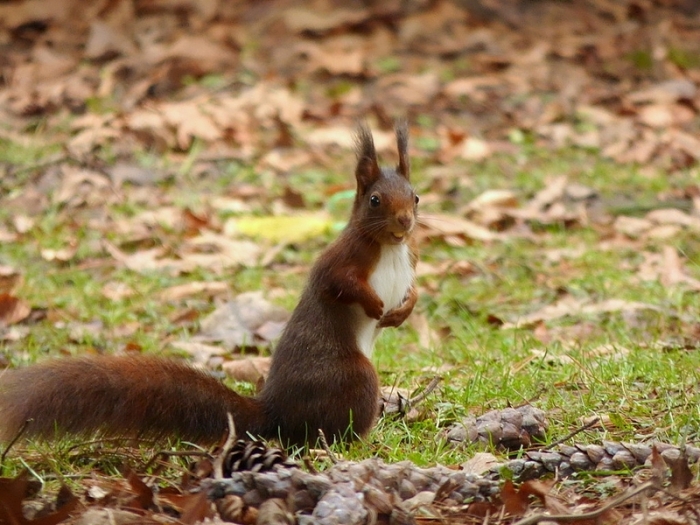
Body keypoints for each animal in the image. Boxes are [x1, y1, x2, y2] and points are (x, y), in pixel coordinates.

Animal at [0, 123, 419, 448]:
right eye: (375, 200)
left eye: (415, 196)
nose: (405, 221)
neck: (388, 248)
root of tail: (276, 413)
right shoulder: (341, 260)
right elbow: (338, 284)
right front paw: (375, 306)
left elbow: (412, 294)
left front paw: (400, 312)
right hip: (352, 377)